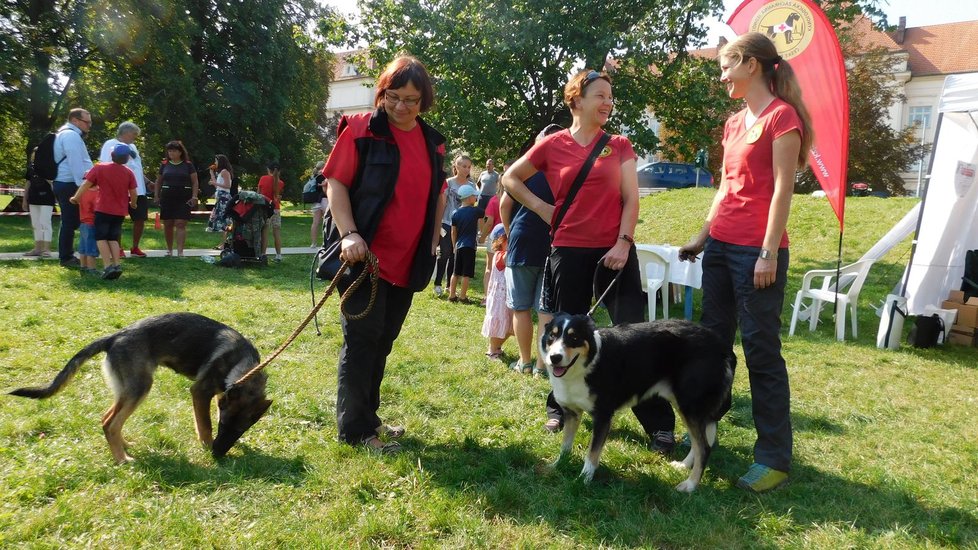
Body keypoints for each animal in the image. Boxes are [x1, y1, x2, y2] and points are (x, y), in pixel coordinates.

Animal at [10, 312, 270, 464]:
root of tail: (114, 337)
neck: (242, 364)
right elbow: (204, 426)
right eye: (224, 425)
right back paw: (123, 460)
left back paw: (124, 447)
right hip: (140, 388)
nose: (218, 455)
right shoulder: (200, 392)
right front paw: (206, 447)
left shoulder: (217, 396)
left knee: (107, 419)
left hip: (126, 391)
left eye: (240, 430)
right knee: (111, 423)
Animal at [540, 312, 732, 494]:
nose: (555, 357)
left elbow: (592, 454)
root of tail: (719, 344)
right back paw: (684, 466)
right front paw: (558, 465)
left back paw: (690, 485)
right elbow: (565, 445)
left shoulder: (602, 416)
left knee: (704, 447)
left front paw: (584, 479)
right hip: (688, 406)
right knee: (699, 443)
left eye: (574, 338)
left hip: (689, 405)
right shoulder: (571, 413)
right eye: (552, 336)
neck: (587, 365)